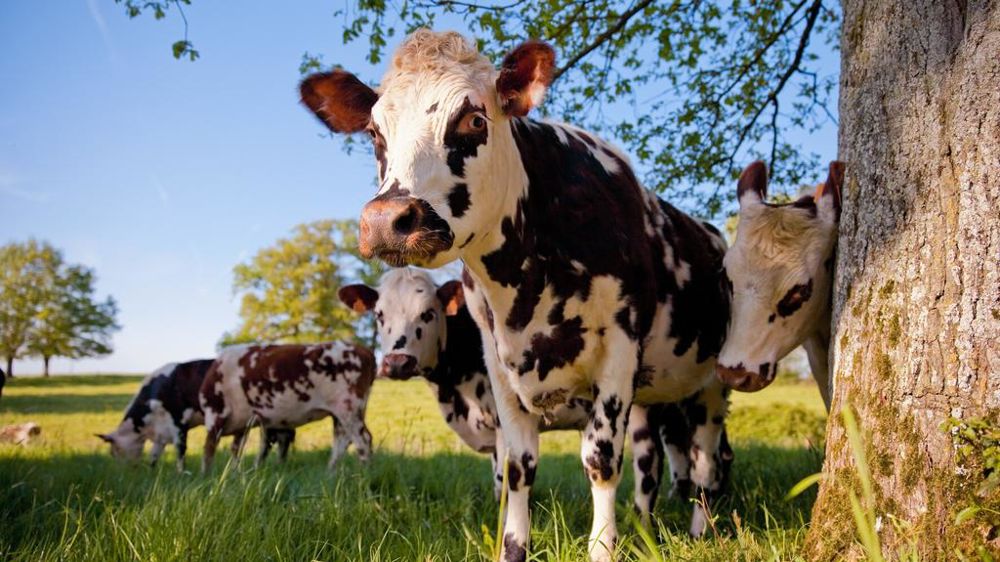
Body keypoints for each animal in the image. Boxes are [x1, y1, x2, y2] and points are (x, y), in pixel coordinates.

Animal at [199, 341, 375, 473]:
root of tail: (364, 350)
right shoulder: (243, 425)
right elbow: (237, 450)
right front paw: (234, 474)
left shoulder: (215, 414)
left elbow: (208, 450)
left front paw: (207, 477)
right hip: (342, 413)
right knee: (342, 441)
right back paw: (330, 475)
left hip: (348, 408)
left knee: (363, 440)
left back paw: (363, 477)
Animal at [300, 30, 731, 561]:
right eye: (375, 134)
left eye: (474, 119)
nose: (385, 221)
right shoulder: (499, 363)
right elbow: (519, 468)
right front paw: (512, 547)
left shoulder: (619, 350)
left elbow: (600, 460)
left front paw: (603, 548)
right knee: (655, 460)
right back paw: (649, 523)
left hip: (711, 381)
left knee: (706, 455)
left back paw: (700, 528)